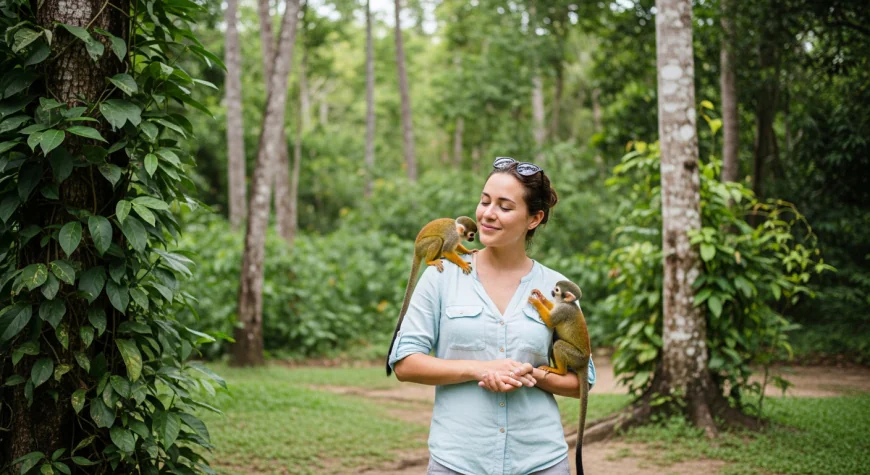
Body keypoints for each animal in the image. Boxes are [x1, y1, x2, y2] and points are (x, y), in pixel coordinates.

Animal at [385, 216, 478, 376]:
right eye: (471, 234)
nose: (472, 239)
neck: (457, 230)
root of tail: (416, 249)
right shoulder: (453, 235)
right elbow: (448, 249)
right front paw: (462, 264)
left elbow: (455, 247)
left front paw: (467, 250)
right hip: (422, 247)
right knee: (437, 240)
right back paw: (430, 260)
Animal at [528, 280, 591, 475]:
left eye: (556, 290)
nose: (550, 291)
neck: (566, 303)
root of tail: (585, 362)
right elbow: (552, 311)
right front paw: (541, 298)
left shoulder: (564, 310)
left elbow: (550, 321)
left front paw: (536, 302)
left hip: (576, 357)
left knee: (558, 343)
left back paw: (559, 371)